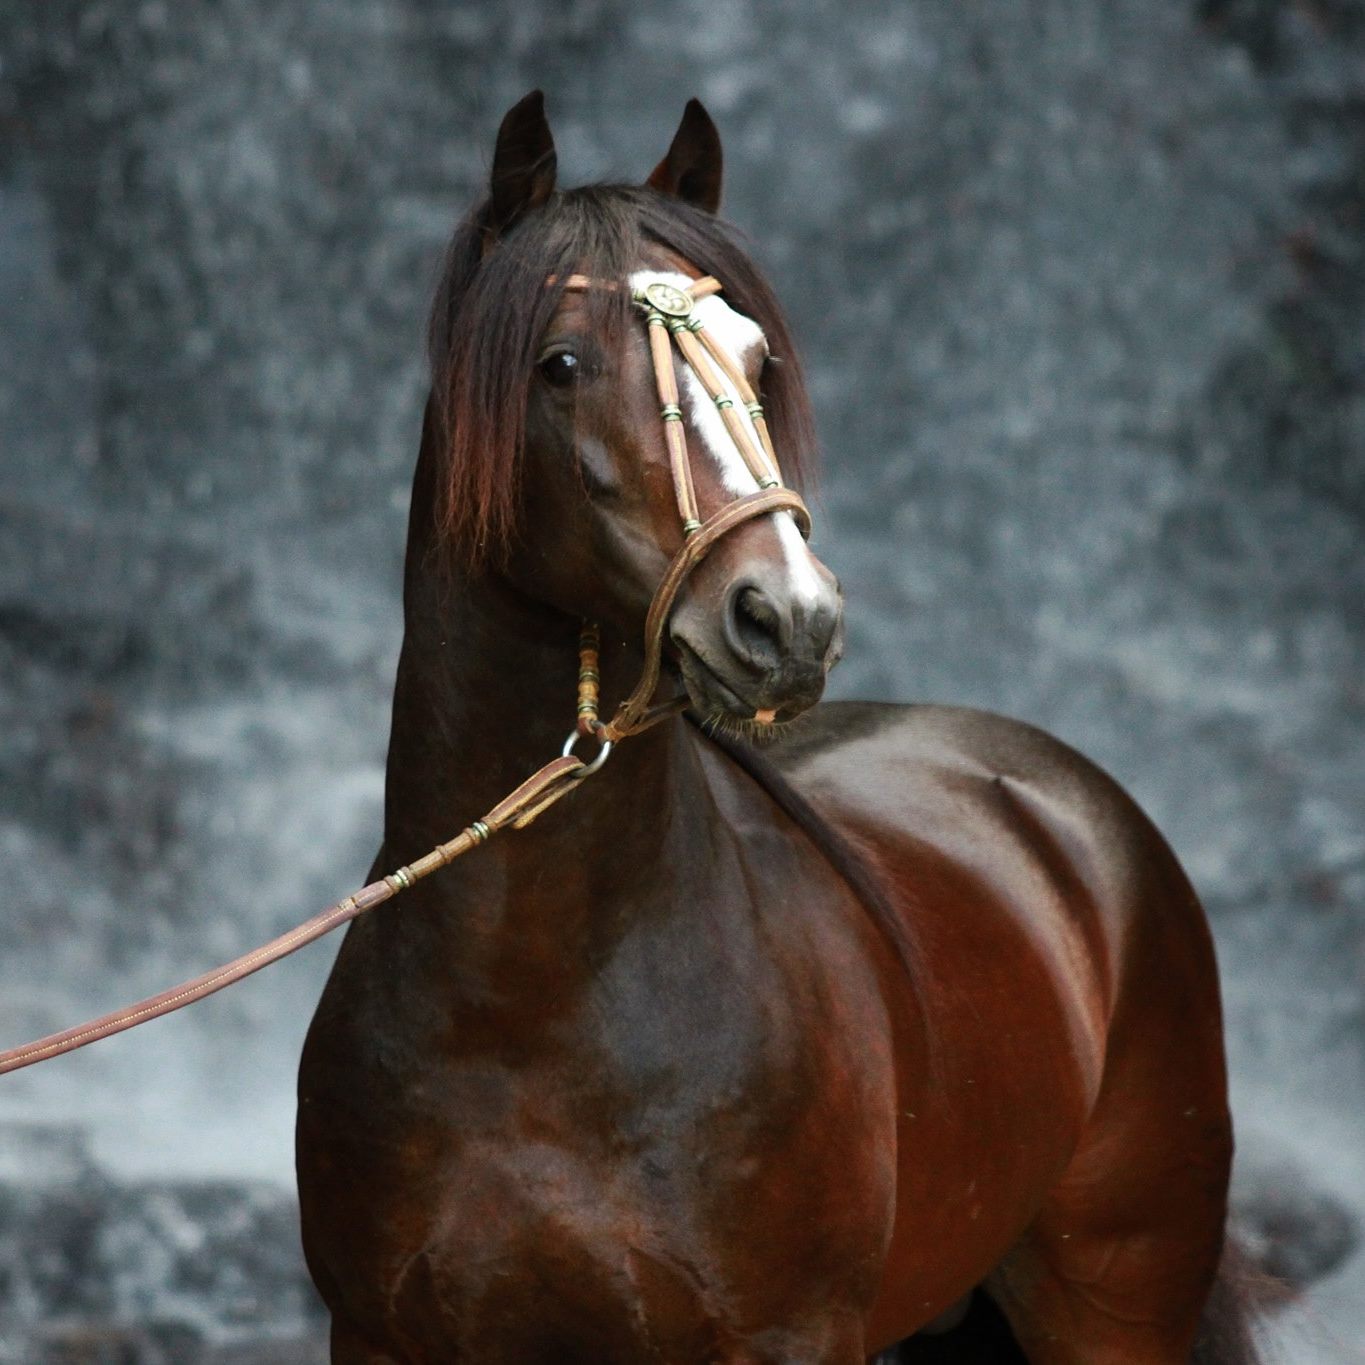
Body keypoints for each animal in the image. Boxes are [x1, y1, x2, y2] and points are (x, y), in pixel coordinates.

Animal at [296, 92, 1260, 1364]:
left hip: (1113, 1302)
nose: (788, 617)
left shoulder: (792, 1335)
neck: (527, 1009)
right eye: (561, 364)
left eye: (754, 356)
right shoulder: (383, 1338)